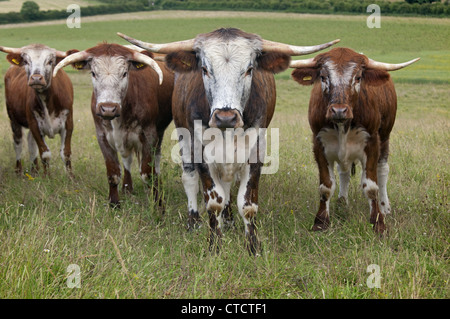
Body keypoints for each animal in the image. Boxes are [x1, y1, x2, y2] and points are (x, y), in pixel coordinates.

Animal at [0, 43, 78, 176]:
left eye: (50, 61)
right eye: (26, 61)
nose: (36, 78)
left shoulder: (68, 123)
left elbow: (66, 153)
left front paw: (71, 177)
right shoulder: (34, 124)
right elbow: (45, 154)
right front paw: (47, 177)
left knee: (31, 143)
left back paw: (34, 170)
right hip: (13, 119)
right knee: (18, 143)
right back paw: (19, 171)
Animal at [52, 43, 172, 208]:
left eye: (125, 73)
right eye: (93, 73)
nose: (108, 108)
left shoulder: (149, 134)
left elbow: (148, 173)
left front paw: (158, 204)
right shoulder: (102, 136)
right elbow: (113, 172)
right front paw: (114, 203)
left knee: (155, 158)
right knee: (127, 159)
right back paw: (127, 188)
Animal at [118, 28, 340, 255]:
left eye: (249, 69)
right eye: (205, 69)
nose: (226, 117)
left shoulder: (255, 151)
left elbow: (247, 203)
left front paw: (253, 247)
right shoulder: (201, 152)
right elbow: (213, 200)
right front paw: (215, 245)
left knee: (227, 186)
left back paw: (229, 220)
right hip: (184, 138)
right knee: (190, 179)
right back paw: (194, 221)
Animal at [290, 47, 420, 235]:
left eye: (358, 78)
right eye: (323, 77)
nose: (339, 110)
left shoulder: (372, 143)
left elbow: (371, 186)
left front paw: (378, 222)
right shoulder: (319, 144)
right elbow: (326, 186)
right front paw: (321, 222)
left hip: (385, 137)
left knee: (383, 170)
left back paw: (385, 207)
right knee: (343, 173)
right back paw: (342, 202)